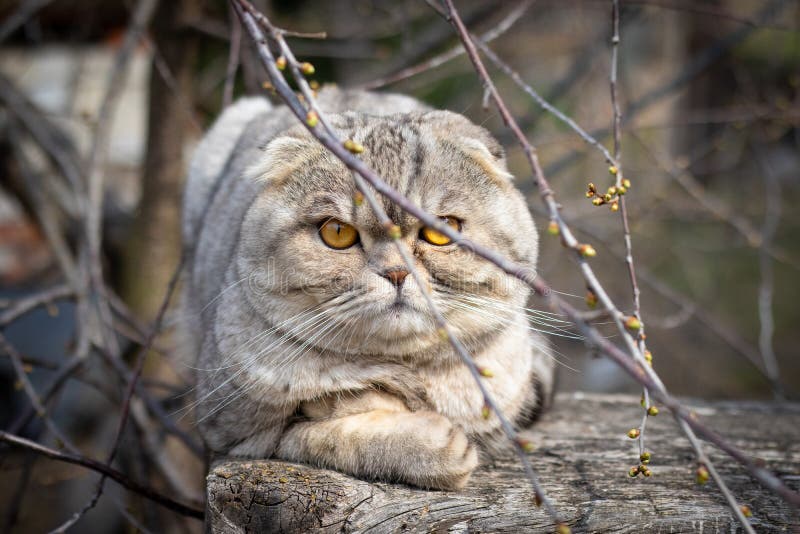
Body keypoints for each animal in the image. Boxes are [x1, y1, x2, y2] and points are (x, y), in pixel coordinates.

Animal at [180, 89, 556, 494]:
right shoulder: (238, 432)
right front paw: (431, 442)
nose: (396, 272)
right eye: (337, 232)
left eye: (441, 230)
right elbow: (334, 432)